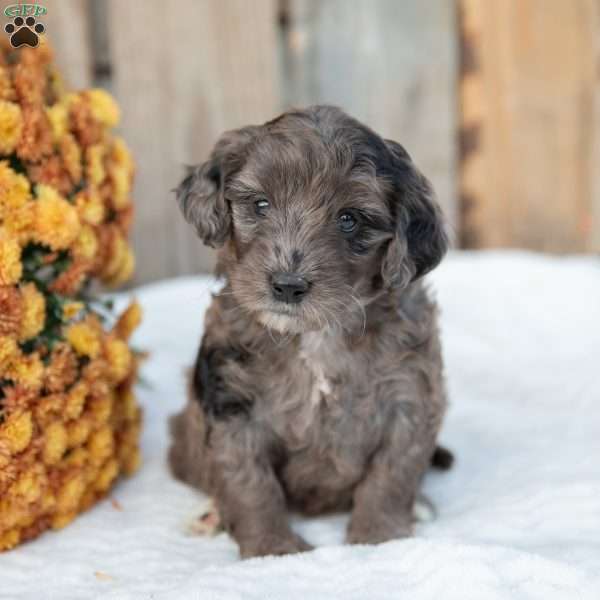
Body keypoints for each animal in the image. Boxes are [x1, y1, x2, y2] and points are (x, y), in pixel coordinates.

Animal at [168, 104, 450, 556]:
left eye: (349, 220)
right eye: (260, 204)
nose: (287, 285)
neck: (315, 335)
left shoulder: (410, 395)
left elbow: (391, 475)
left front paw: (379, 537)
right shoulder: (232, 403)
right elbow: (250, 484)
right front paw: (272, 548)